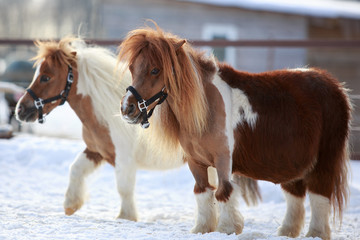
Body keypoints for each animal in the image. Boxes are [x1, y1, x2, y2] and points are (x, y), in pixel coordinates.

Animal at [15, 37, 260, 223]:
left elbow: (124, 187)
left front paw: (126, 217)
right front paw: (70, 206)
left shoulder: (124, 158)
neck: (105, 111)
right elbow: (75, 169)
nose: (20, 109)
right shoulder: (96, 151)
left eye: (46, 77)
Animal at [119, 23, 352, 240]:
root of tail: (335, 87)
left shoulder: (223, 160)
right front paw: (202, 229)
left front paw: (227, 229)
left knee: (320, 195)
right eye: (132, 67)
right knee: (295, 195)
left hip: (325, 160)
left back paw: (316, 233)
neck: (207, 105)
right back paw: (287, 231)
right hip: (294, 163)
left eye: (155, 70)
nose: (127, 108)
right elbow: (203, 193)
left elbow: (224, 193)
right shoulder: (196, 162)